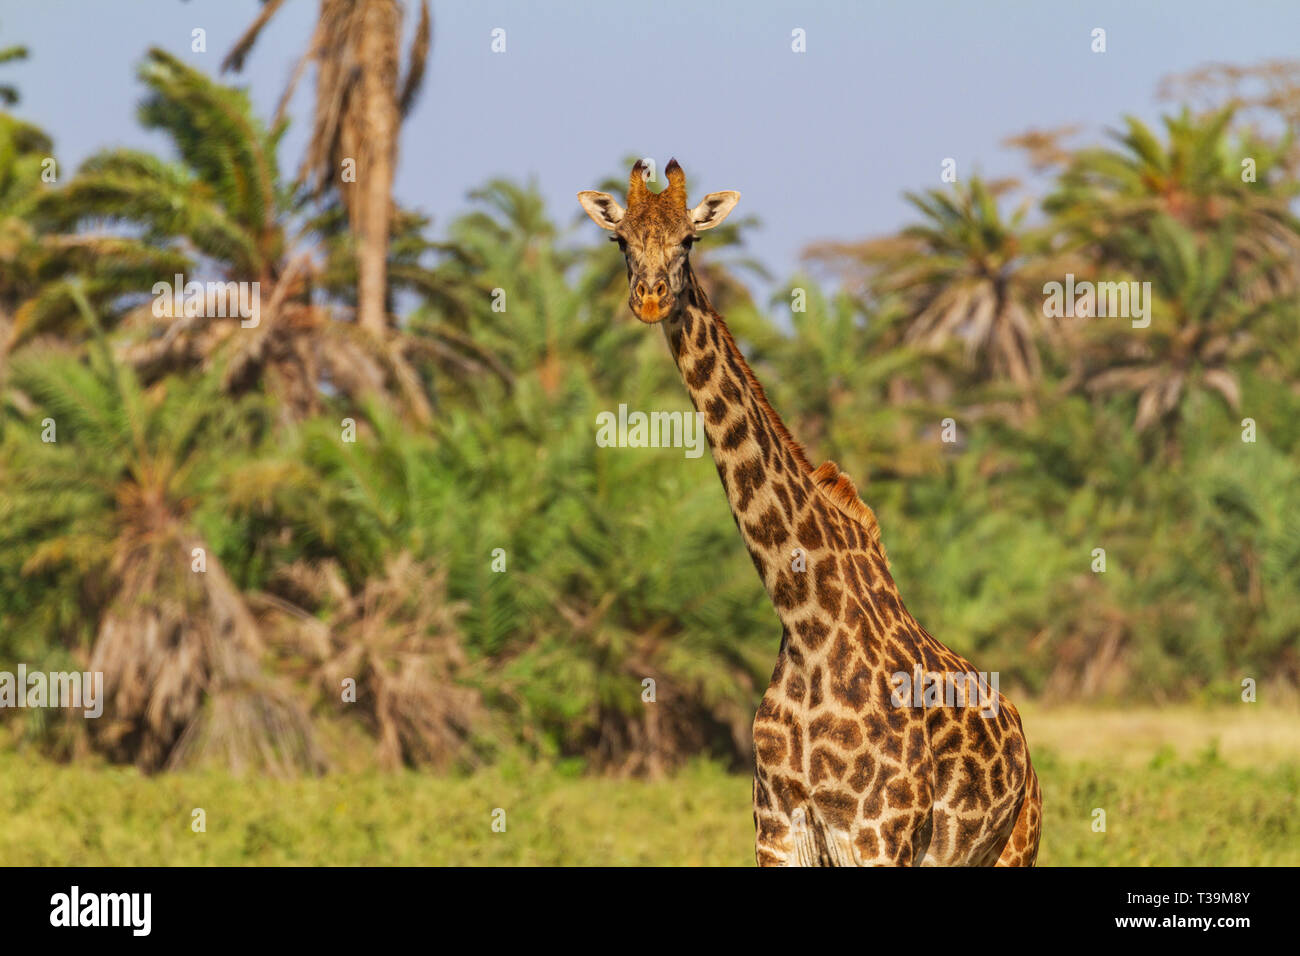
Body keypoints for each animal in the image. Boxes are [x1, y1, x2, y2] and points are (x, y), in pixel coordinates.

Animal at [579, 159, 1041, 866]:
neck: (805, 625)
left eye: (689, 240)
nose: (651, 298)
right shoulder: (778, 829)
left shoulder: (879, 835)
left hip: (1016, 843)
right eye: (620, 240)